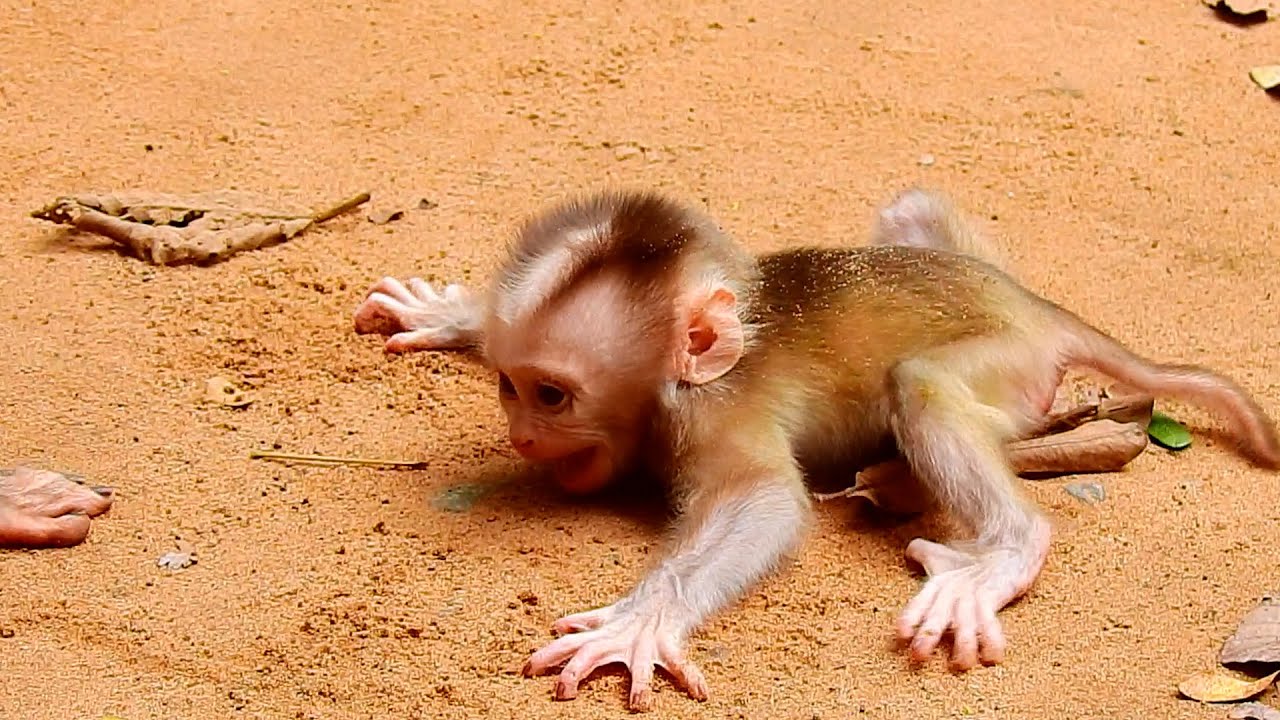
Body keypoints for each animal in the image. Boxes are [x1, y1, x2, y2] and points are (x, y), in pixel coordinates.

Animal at [352, 188, 1280, 712]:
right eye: (508, 385)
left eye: (552, 395)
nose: (523, 434)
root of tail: (1035, 304)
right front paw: (454, 314)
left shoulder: (709, 415)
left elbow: (765, 503)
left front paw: (644, 620)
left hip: (1011, 363)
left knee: (922, 386)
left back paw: (1000, 549)